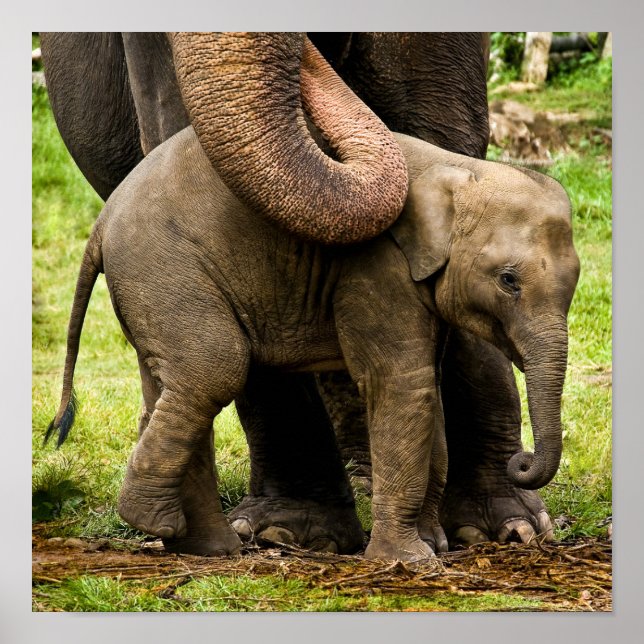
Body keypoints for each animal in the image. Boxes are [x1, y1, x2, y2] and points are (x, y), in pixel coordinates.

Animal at [40, 32, 554, 550]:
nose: (308, 61)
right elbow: (176, 125)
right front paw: (291, 532)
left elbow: (439, 130)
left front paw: (499, 528)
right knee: (210, 364)